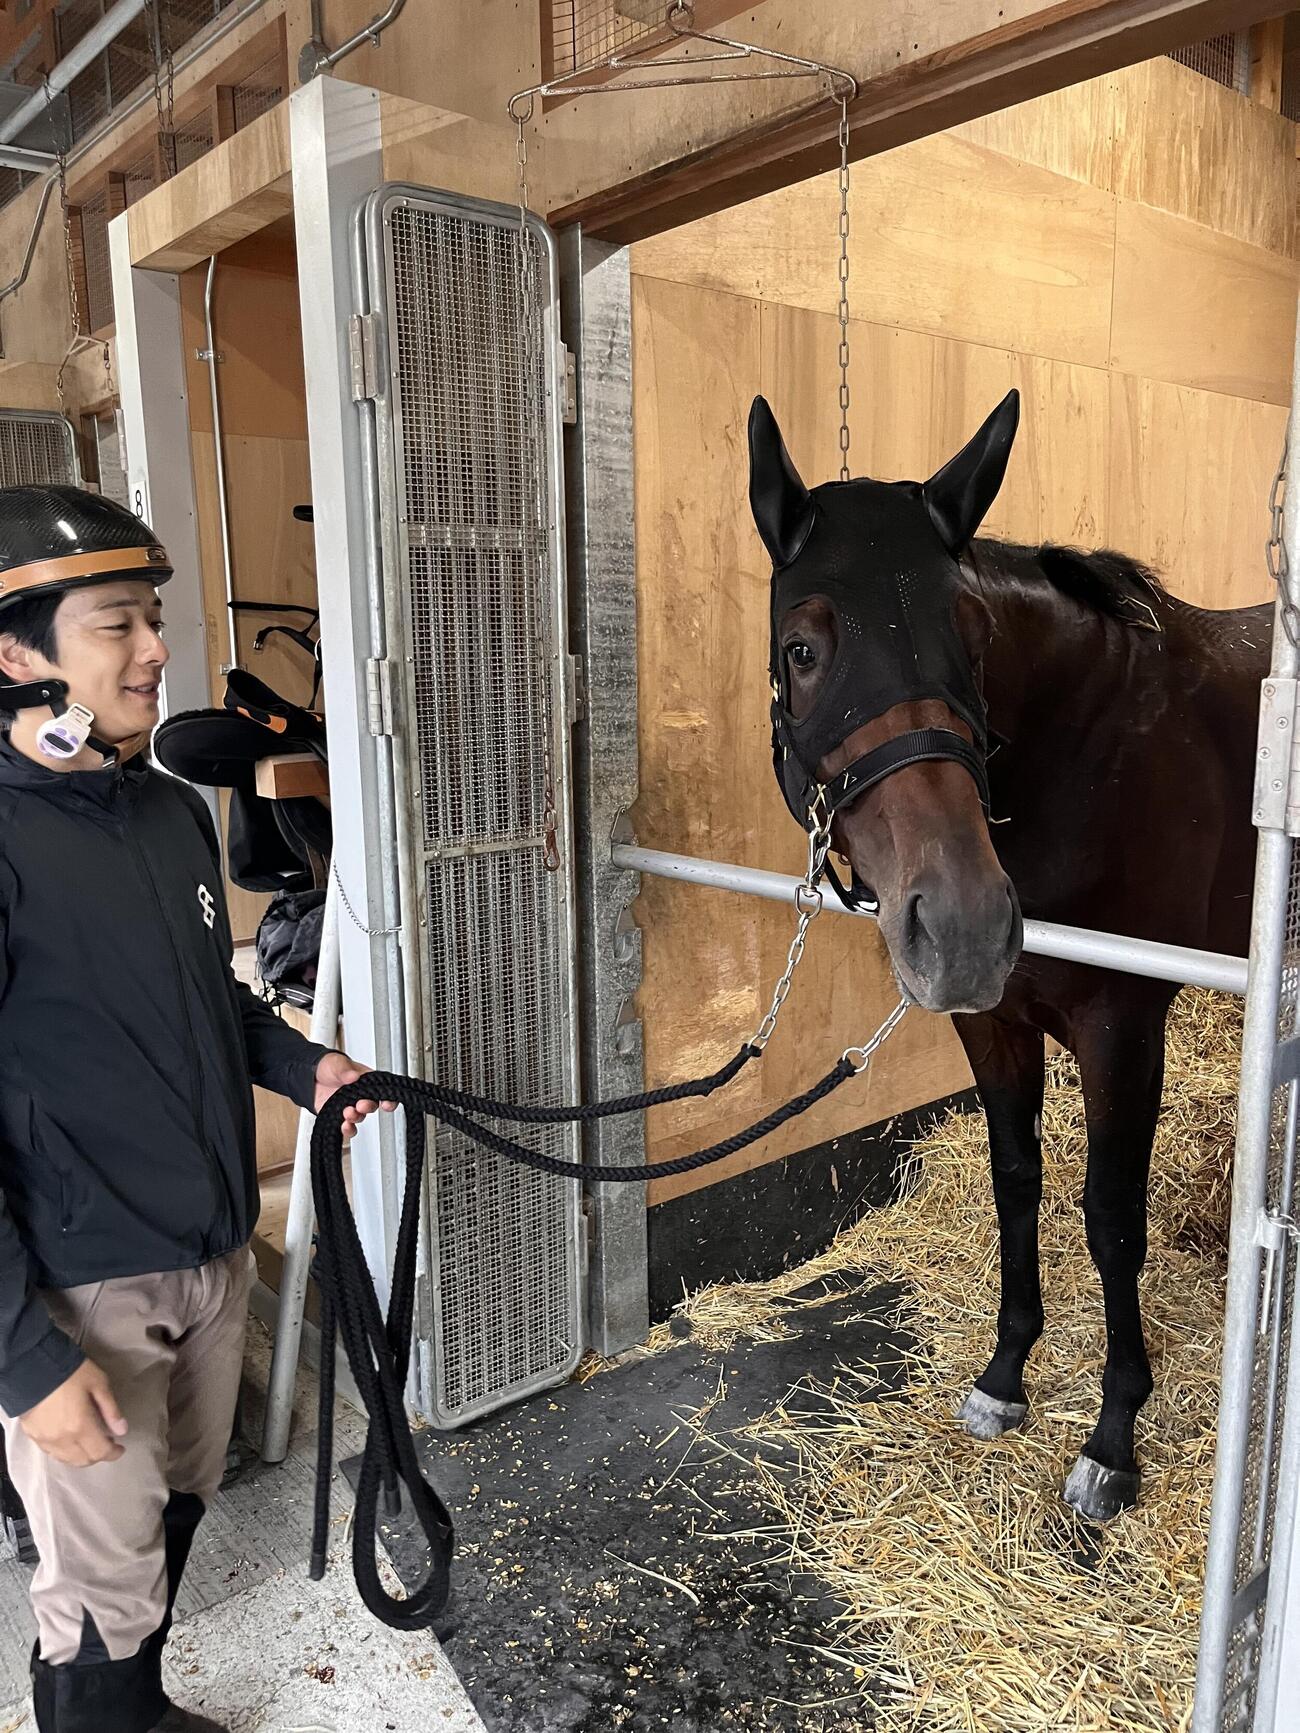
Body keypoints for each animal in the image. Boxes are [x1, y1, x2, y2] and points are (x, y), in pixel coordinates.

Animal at [749, 391, 1270, 1522]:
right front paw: (1003, 1375)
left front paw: (1112, 1438)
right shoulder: (992, 1023)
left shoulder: (1123, 1032)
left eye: (975, 639)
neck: (1094, 753)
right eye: (801, 649)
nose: (963, 920)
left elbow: (1111, 1217)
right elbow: (1016, 1179)